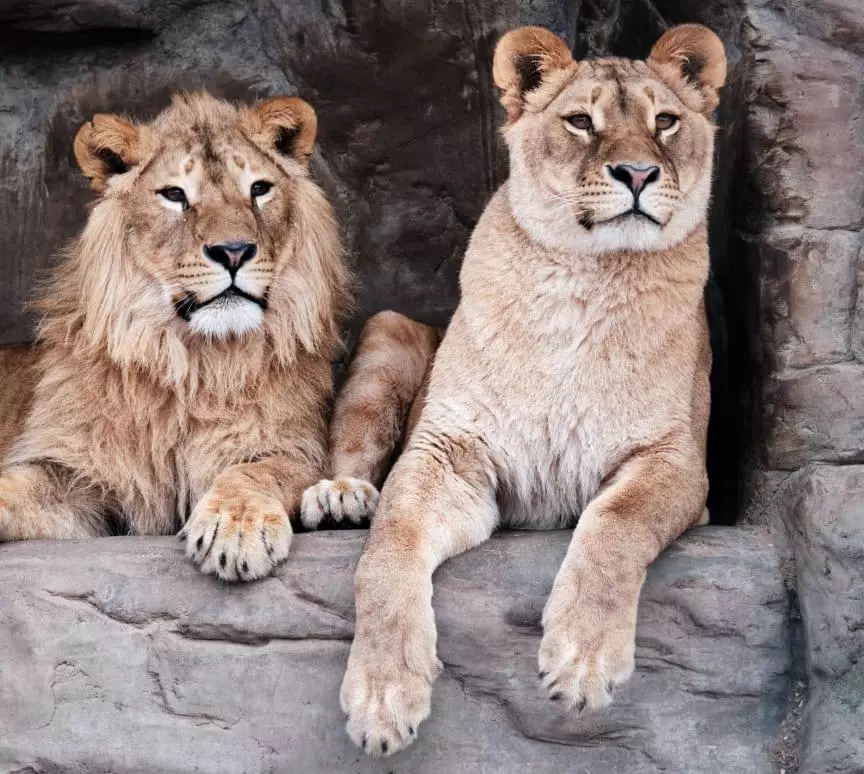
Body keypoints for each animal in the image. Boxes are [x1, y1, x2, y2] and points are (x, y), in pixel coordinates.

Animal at [0, 91, 350, 582]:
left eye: (259, 189)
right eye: (174, 195)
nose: (234, 251)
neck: (193, 363)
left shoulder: (301, 452)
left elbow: (256, 471)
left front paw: (234, 529)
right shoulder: (81, 478)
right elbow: (13, 488)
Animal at [306, 23, 727, 756]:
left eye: (665, 123)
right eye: (581, 121)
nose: (638, 174)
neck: (584, 278)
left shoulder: (677, 462)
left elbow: (614, 525)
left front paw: (581, 662)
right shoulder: (450, 454)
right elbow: (387, 549)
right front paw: (383, 695)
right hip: (389, 335)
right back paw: (342, 496)